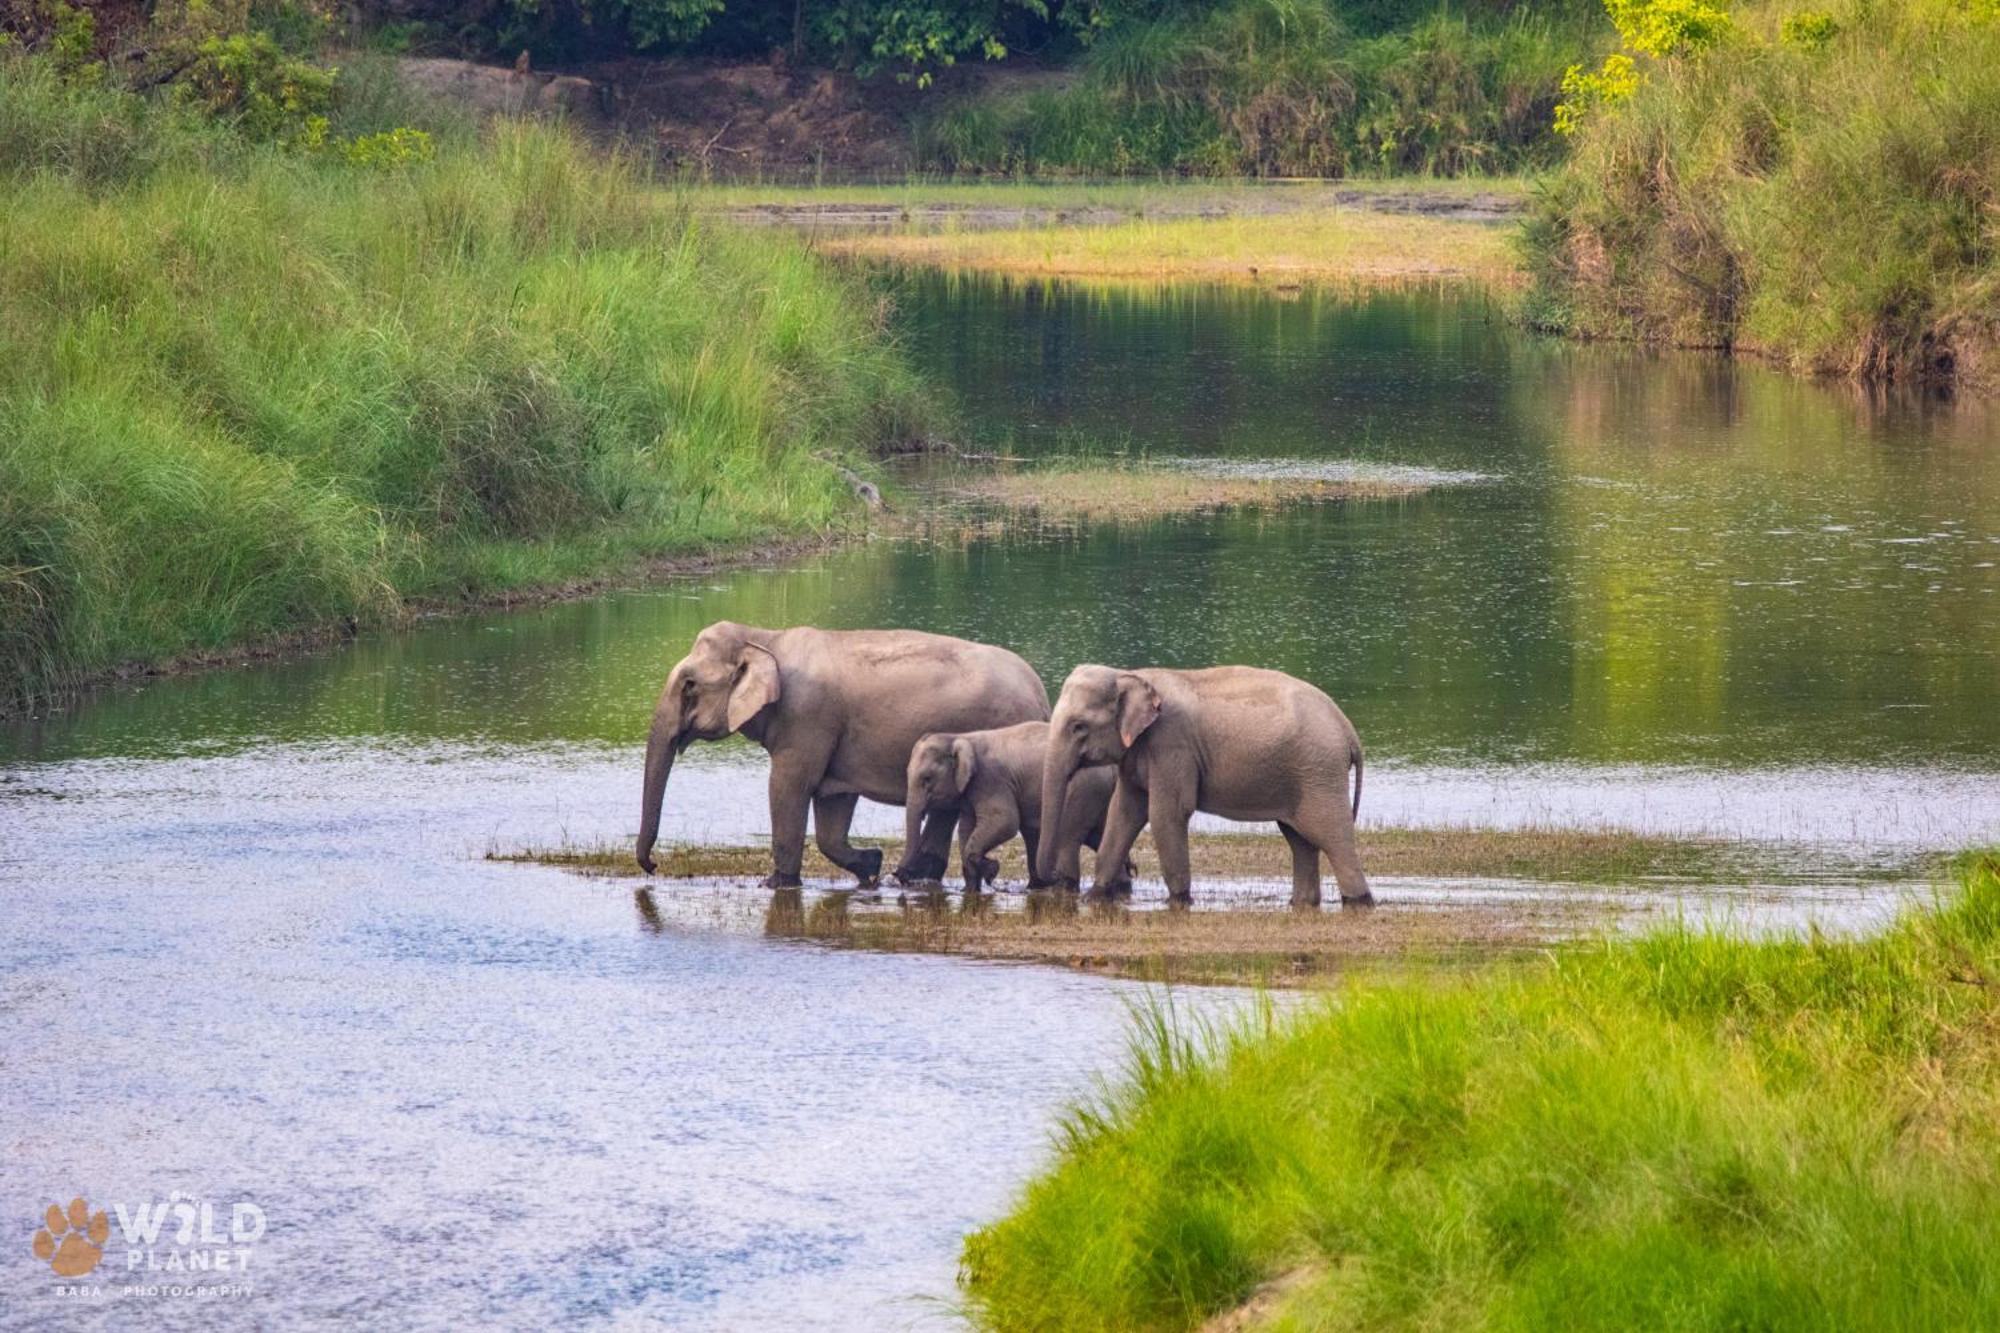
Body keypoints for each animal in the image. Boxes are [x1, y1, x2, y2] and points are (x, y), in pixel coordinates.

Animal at [636, 620, 1048, 880]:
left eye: (689, 685)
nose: (653, 867)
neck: (766, 637)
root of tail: (1041, 693)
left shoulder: (806, 717)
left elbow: (789, 787)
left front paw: (776, 884)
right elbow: (833, 805)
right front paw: (871, 865)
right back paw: (912, 878)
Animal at [896, 720, 1120, 888]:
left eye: (926, 779)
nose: (900, 876)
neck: (960, 737)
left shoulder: (990, 779)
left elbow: (1005, 822)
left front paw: (991, 871)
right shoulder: (971, 790)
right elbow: (967, 828)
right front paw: (977, 882)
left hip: (1083, 789)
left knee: (1070, 835)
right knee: (1098, 835)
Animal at [1040, 660, 1368, 908]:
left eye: (1079, 727)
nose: (1047, 882)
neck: (1132, 674)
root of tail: (1349, 731)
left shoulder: (1171, 744)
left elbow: (1166, 814)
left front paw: (1179, 901)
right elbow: (1124, 814)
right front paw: (1092, 898)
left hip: (1319, 774)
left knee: (1332, 836)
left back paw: (1359, 901)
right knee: (1299, 839)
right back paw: (1303, 903)